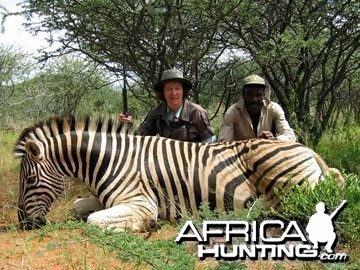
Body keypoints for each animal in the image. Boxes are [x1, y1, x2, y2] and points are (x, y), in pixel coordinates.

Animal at [14, 115, 344, 231]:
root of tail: (304, 148)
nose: (24, 224)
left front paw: (146, 226)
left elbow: (94, 221)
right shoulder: (109, 200)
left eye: (29, 180)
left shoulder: (141, 203)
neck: (110, 161)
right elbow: (79, 207)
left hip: (288, 187)